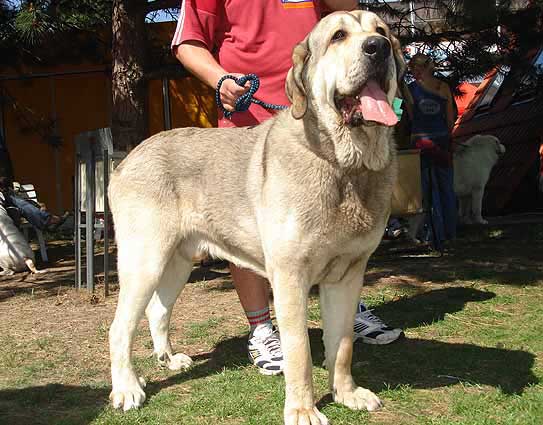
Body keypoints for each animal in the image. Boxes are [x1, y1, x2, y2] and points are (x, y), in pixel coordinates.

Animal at [108, 10, 406, 424]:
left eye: (381, 32)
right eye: (338, 37)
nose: (377, 48)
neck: (345, 164)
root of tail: (126, 159)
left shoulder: (348, 274)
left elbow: (343, 343)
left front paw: (346, 393)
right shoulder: (291, 277)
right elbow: (299, 351)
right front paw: (303, 410)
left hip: (177, 262)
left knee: (157, 310)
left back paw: (168, 359)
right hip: (145, 261)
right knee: (119, 328)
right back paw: (127, 388)